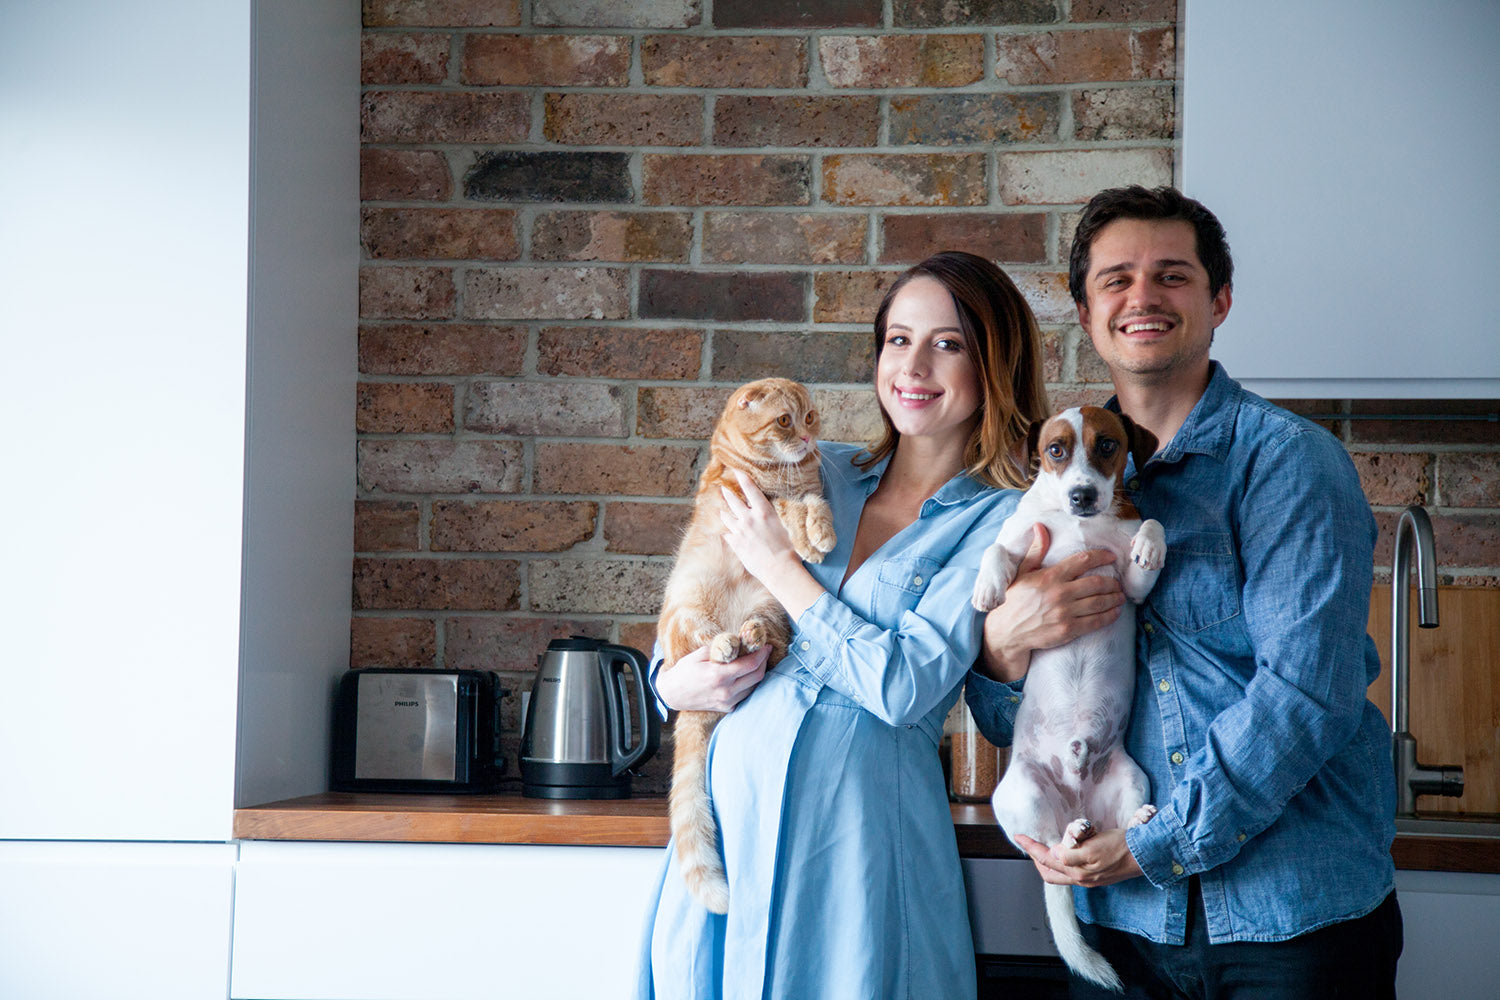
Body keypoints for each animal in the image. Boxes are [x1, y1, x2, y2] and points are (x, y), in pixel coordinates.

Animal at [663, 377, 840, 917]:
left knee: (774, 642)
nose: (807, 439)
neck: (783, 472)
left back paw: (752, 638)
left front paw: (821, 535)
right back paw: (727, 645)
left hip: (768, 605)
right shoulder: (745, 500)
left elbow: (815, 505)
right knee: (702, 639)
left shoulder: (810, 489)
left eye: (810, 418)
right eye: (785, 421)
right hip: (686, 607)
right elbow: (787, 510)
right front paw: (806, 539)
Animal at [972, 404, 1170, 995]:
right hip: (1022, 795)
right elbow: (998, 546)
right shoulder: (1023, 542)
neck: (1078, 524)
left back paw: (1129, 820)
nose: (1083, 495)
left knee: (1116, 824)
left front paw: (1150, 542)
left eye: (1108, 445)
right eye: (1055, 450)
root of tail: (1076, 804)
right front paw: (988, 585)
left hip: (1131, 776)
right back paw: (1069, 832)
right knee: (1051, 846)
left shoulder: (1131, 587)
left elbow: (1150, 529)